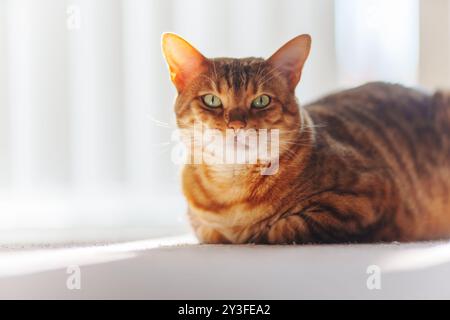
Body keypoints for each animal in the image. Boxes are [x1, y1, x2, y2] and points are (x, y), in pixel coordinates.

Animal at [162, 32, 450, 244]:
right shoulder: (202, 226)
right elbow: (210, 232)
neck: (231, 193)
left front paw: (256, 232)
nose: (236, 124)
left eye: (261, 101)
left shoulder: (367, 194)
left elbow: (284, 227)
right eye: (211, 100)